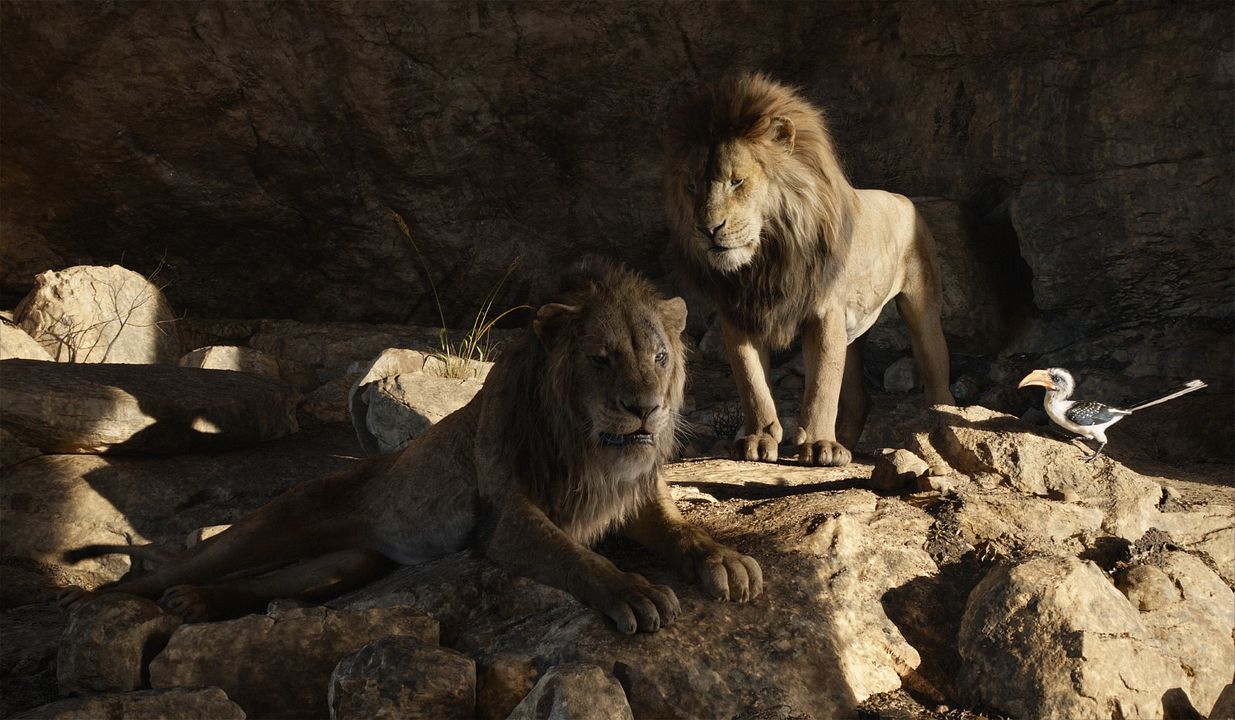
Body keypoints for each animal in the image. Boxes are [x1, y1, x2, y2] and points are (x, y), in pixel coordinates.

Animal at [60, 260, 762, 634]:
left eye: (660, 358)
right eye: (602, 358)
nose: (645, 407)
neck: (590, 445)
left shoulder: (632, 493)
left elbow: (682, 530)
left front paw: (726, 560)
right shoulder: (505, 518)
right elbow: (572, 557)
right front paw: (631, 591)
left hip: (345, 563)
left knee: (270, 585)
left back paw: (197, 604)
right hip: (273, 522)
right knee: (189, 564)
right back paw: (102, 600)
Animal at [664, 73, 954, 467]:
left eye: (737, 181)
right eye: (692, 186)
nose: (707, 229)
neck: (768, 258)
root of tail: (903, 197)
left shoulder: (825, 313)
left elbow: (821, 386)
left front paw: (820, 446)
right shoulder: (738, 313)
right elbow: (751, 382)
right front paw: (758, 439)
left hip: (922, 311)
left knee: (937, 377)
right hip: (853, 331)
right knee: (858, 396)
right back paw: (846, 441)